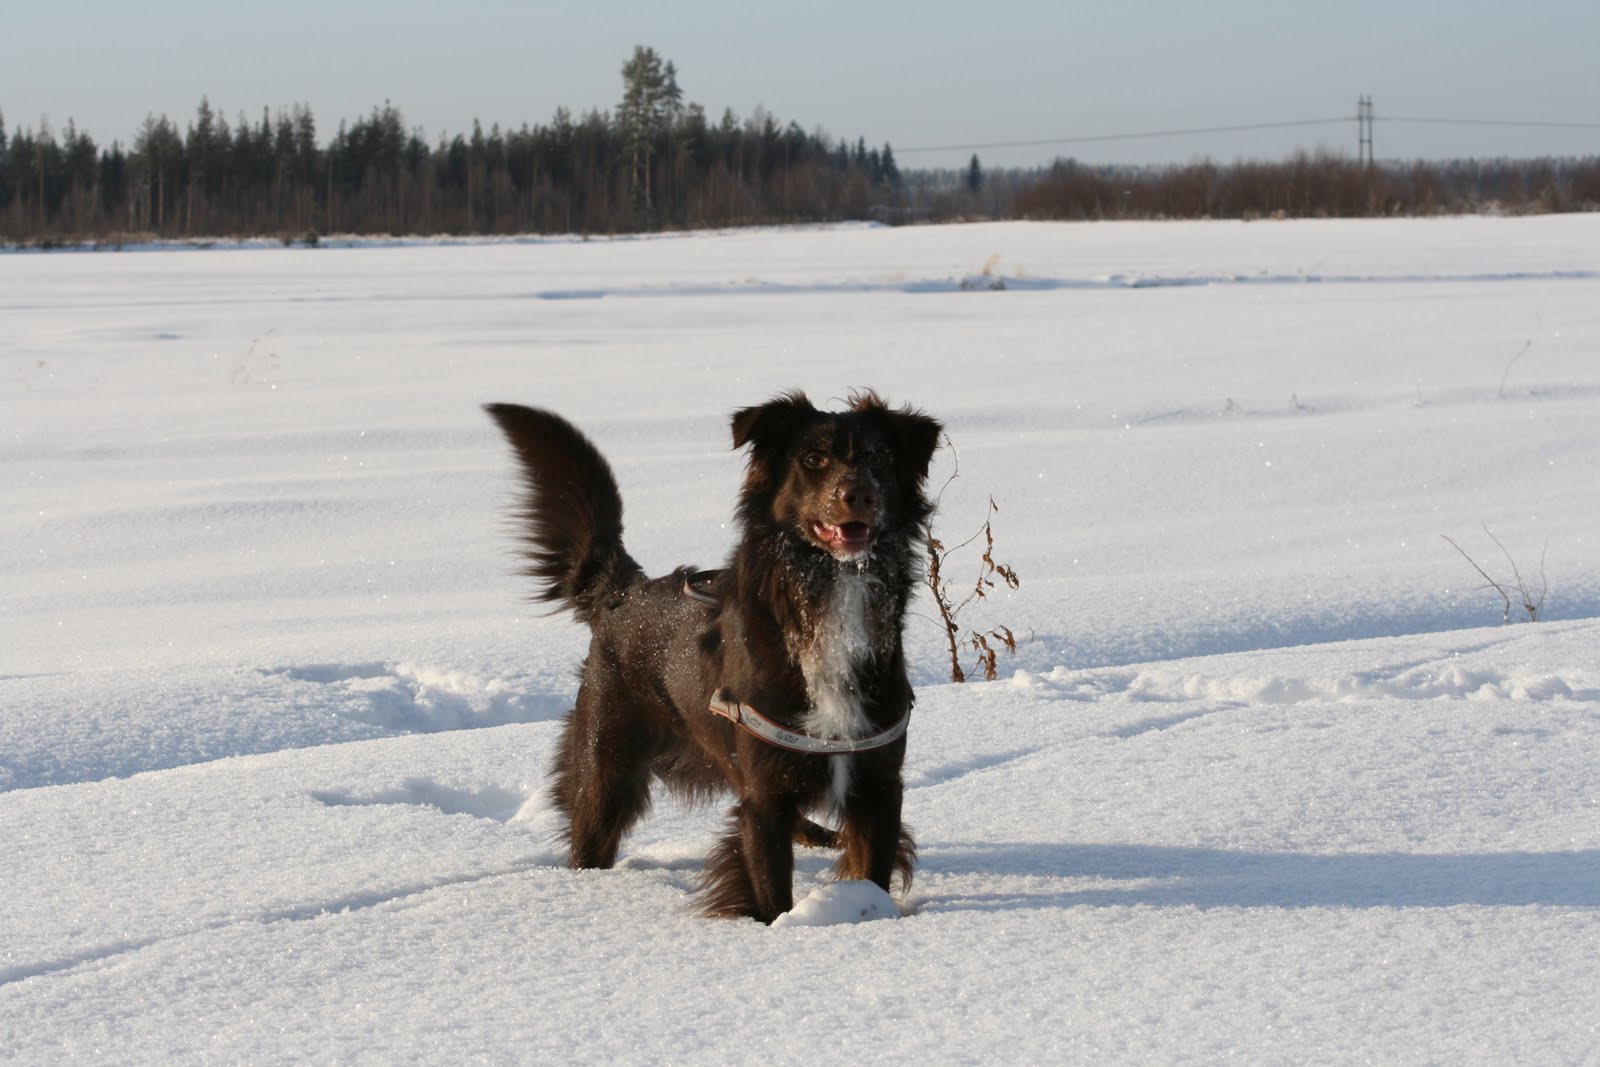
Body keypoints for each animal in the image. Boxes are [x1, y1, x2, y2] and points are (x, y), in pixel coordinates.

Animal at [485, 390, 942, 922]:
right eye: (813, 459)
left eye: (880, 458)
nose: (859, 494)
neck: (826, 593)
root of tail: (624, 591)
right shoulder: (766, 794)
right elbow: (769, 891)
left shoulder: (879, 785)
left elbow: (873, 871)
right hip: (605, 764)